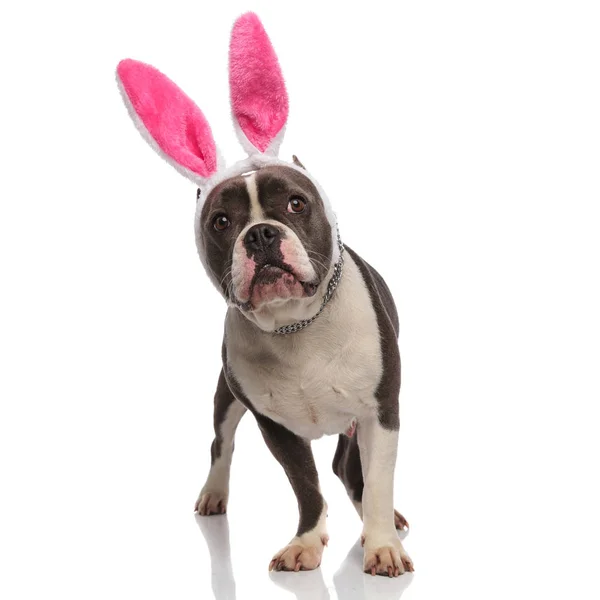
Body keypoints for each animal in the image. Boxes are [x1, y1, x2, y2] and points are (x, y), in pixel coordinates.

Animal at [116, 10, 412, 576]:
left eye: (297, 203)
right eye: (221, 221)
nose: (259, 234)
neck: (297, 325)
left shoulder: (379, 413)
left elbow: (379, 481)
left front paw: (383, 542)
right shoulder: (273, 424)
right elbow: (306, 486)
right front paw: (306, 542)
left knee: (353, 471)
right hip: (226, 396)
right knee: (221, 443)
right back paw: (214, 493)